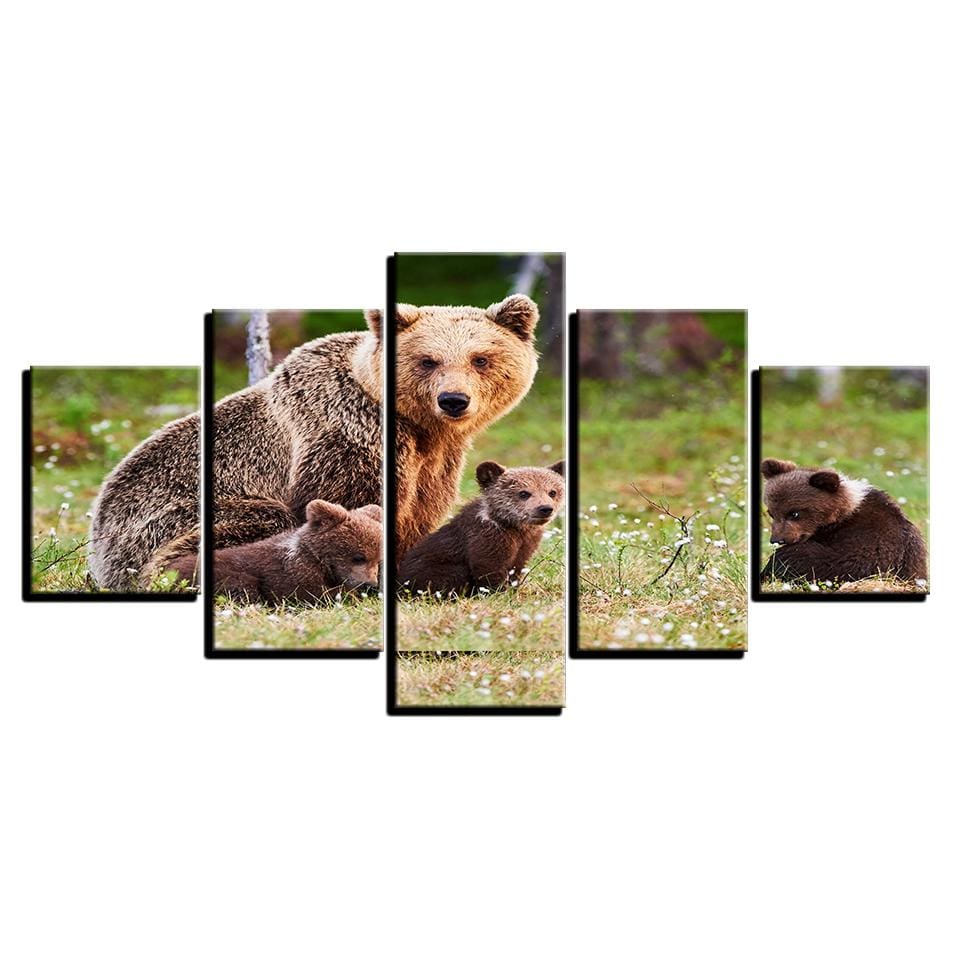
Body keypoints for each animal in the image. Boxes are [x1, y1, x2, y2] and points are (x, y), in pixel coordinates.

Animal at [398, 460, 564, 596]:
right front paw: (498, 593)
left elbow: (516, 569)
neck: (514, 527)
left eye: (552, 492)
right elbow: (488, 569)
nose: (545, 508)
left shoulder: (525, 545)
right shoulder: (486, 539)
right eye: (524, 493)